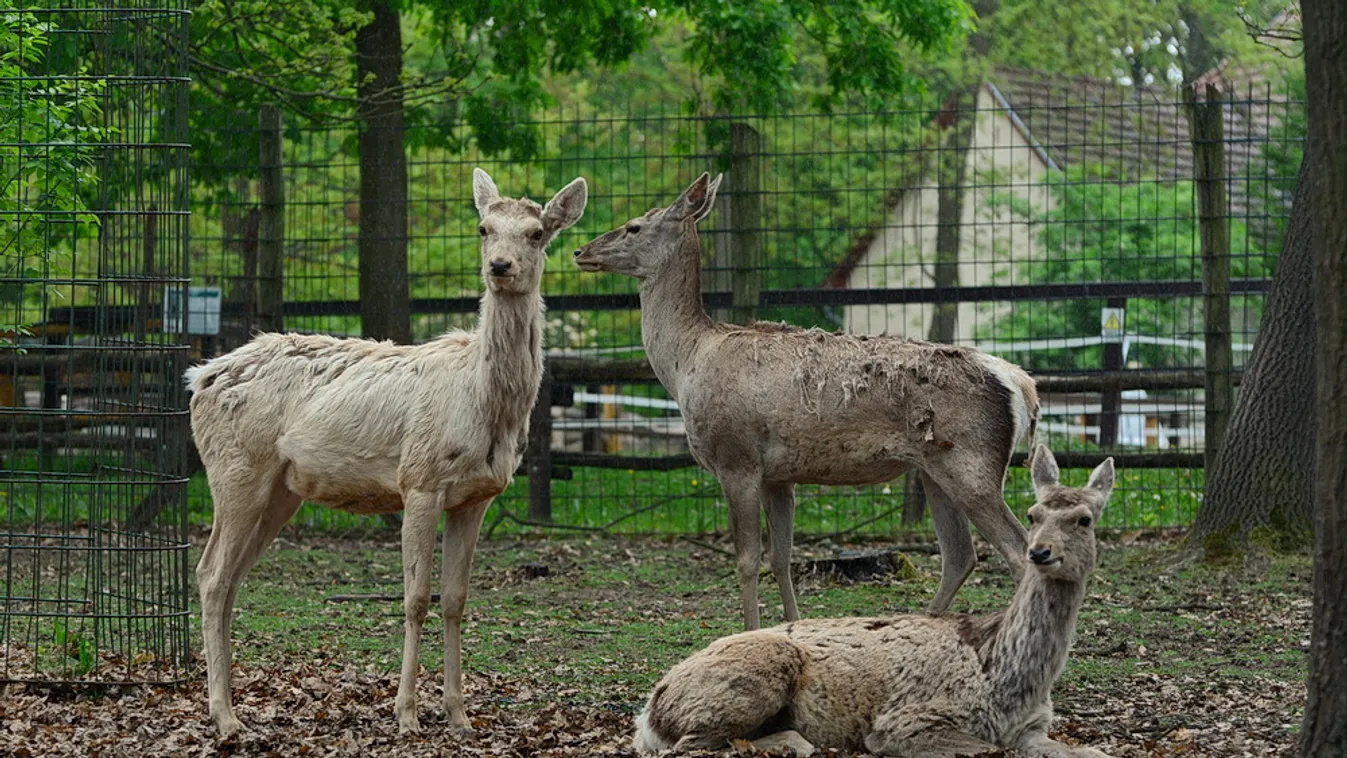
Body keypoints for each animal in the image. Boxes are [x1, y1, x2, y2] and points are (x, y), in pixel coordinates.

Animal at [187, 170, 587, 737]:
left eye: (536, 233)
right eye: (483, 228)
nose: (499, 266)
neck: (485, 404)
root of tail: (199, 379)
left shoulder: (477, 497)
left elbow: (456, 600)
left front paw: (460, 716)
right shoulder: (419, 479)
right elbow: (416, 598)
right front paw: (406, 714)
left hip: (280, 491)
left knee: (231, 576)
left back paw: (226, 707)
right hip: (234, 469)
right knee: (212, 574)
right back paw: (225, 716)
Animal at [573, 172, 1034, 630]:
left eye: (634, 226)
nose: (581, 251)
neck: (686, 364)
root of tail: (1020, 383)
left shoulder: (736, 459)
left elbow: (747, 560)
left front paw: (750, 632)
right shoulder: (779, 475)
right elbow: (781, 558)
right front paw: (792, 627)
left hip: (971, 464)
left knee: (1018, 551)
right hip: (934, 469)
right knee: (961, 555)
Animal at [635, 444, 1120, 758]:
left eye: (1085, 519)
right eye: (1033, 514)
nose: (1039, 552)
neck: (1005, 679)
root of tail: (650, 711)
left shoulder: (1033, 727)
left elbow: (1096, 753)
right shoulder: (904, 721)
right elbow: (992, 751)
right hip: (754, 676)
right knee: (690, 746)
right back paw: (797, 742)